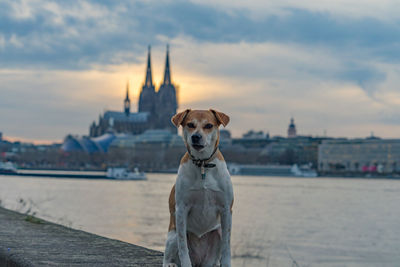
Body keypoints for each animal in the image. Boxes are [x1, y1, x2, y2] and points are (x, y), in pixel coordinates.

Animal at [163, 109, 233, 267]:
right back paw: (170, 263)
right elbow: (183, 247)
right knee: (168, 255)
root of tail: (199, 262)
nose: (196, 137)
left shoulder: (226, 209)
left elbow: (226, 246)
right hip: (172, 234)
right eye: (190, 124)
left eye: (208, 125)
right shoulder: (181, 209)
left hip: (217, 233)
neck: (203, 165)